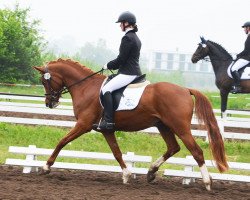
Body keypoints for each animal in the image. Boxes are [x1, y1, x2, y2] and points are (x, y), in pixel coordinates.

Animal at [33, 58, 229, 191]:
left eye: (44, 81)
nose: (49, 103)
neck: (85, 87)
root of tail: (185, 90)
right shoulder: (106, 130)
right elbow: (116, 152)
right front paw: (127, 175)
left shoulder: (83, 125)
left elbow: (62, 142)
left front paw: (45, 167)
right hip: (163, 126)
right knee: (173, 147)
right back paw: (151, 172)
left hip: (180, 127)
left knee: (196, 152)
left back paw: (207, 182)